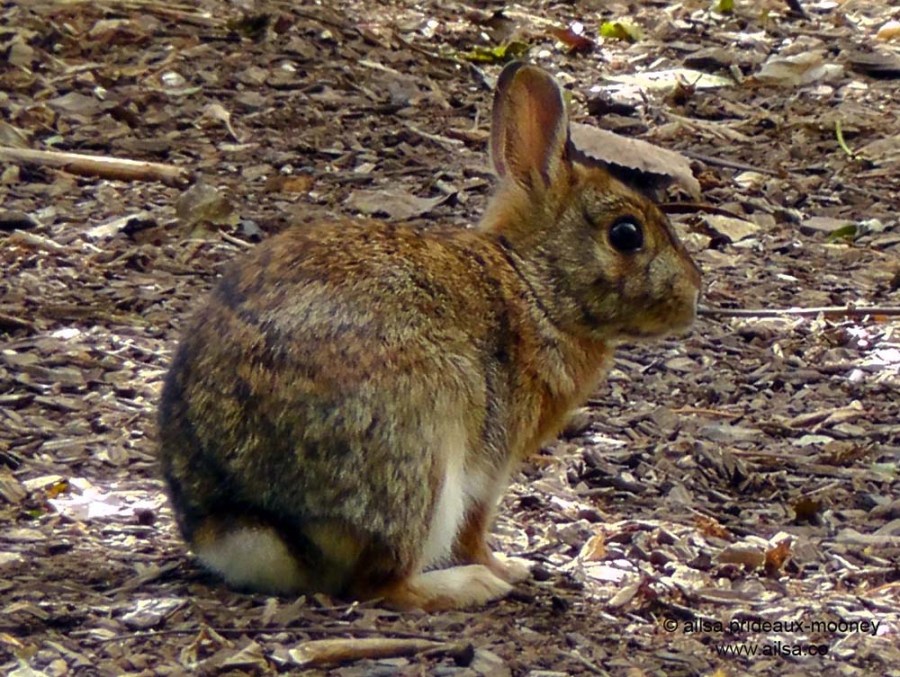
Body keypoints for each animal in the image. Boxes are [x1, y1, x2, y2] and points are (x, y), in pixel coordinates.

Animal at [157, 61, 702, 611]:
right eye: (626, 234)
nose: (694, 293)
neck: (531, 283)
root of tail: (244, 521)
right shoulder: (490, 465)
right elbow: (475, 528)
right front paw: (507, 567)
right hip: (424, 448)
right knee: (382, 583)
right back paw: (470, 585)